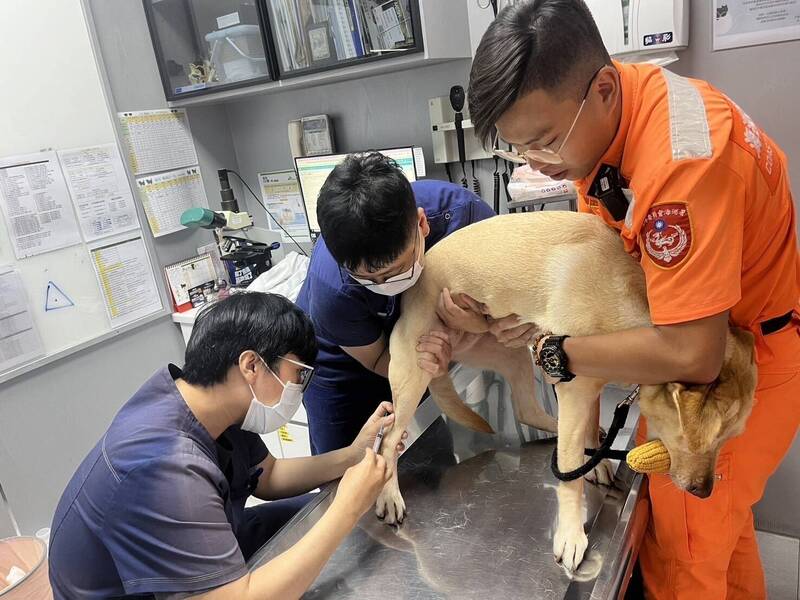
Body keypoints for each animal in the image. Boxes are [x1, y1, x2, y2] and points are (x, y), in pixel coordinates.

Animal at [378, 212, 760, 572]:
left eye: (729, 438)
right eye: (699, 440)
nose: (705, 492)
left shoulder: (588, 390)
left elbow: (583, 437)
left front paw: (598, 463)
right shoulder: (575, 391)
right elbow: (570, 473)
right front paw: (571, 533)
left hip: (510, 351)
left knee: (526, 410)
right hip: (413, 376)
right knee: (388, 441)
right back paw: (389, 495)